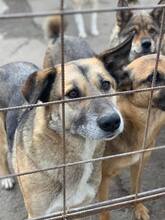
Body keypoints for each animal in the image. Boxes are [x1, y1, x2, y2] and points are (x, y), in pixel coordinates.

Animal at [98, 53, 165, 220]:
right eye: (153, 77)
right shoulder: (103, 178)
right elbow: (104, 209)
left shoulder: (139, 165)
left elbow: (136, 189)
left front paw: (138, 208)